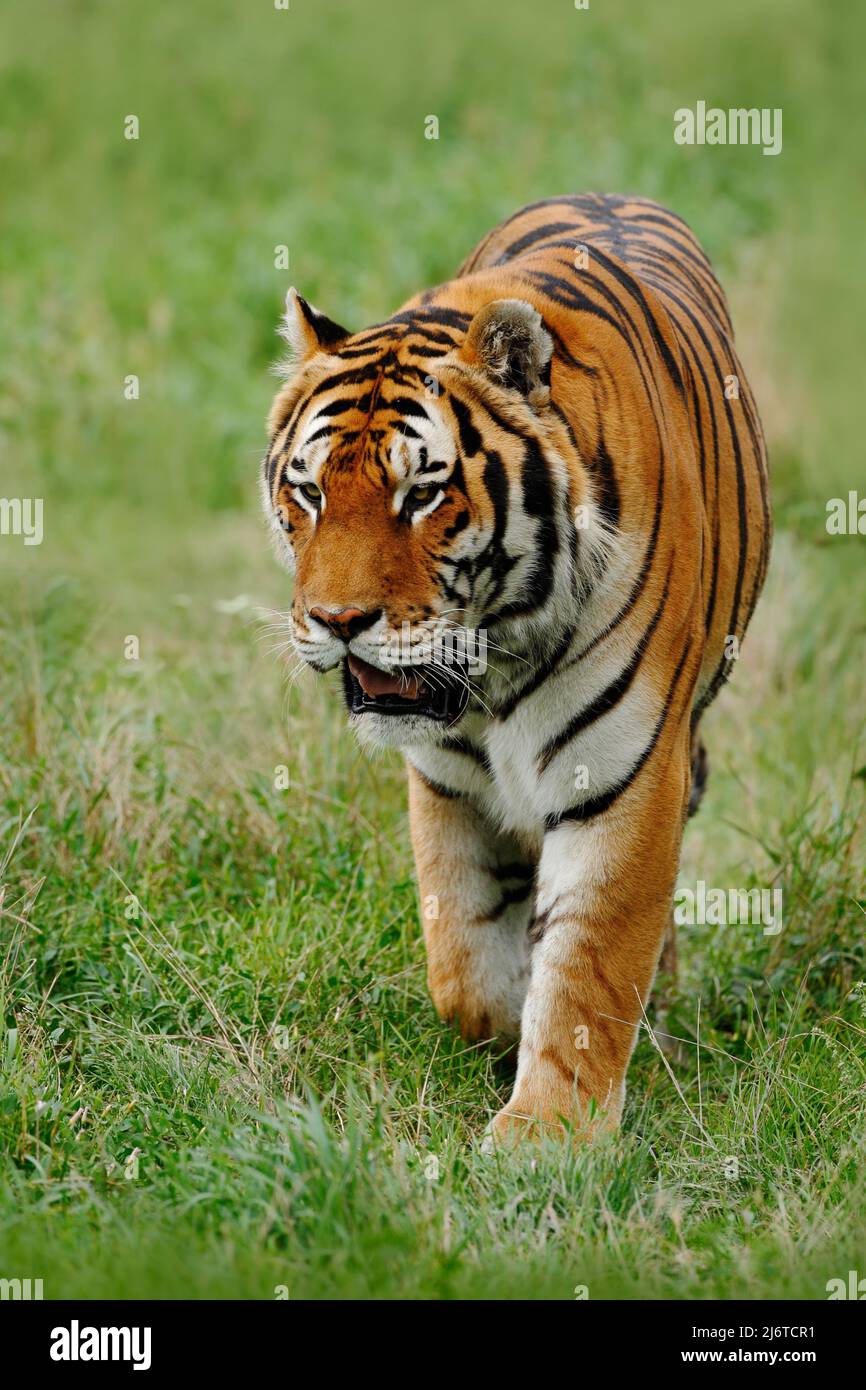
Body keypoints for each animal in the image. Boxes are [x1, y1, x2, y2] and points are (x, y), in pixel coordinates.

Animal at [262, 192, 770, 1144]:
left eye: (422, 494)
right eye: (308, 492)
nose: (339, 623)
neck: (493, 663)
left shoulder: (623, 776)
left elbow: (591, 967)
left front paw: (547, 1137)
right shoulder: (446, 780)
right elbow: (463, 959)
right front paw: (508, 1027)